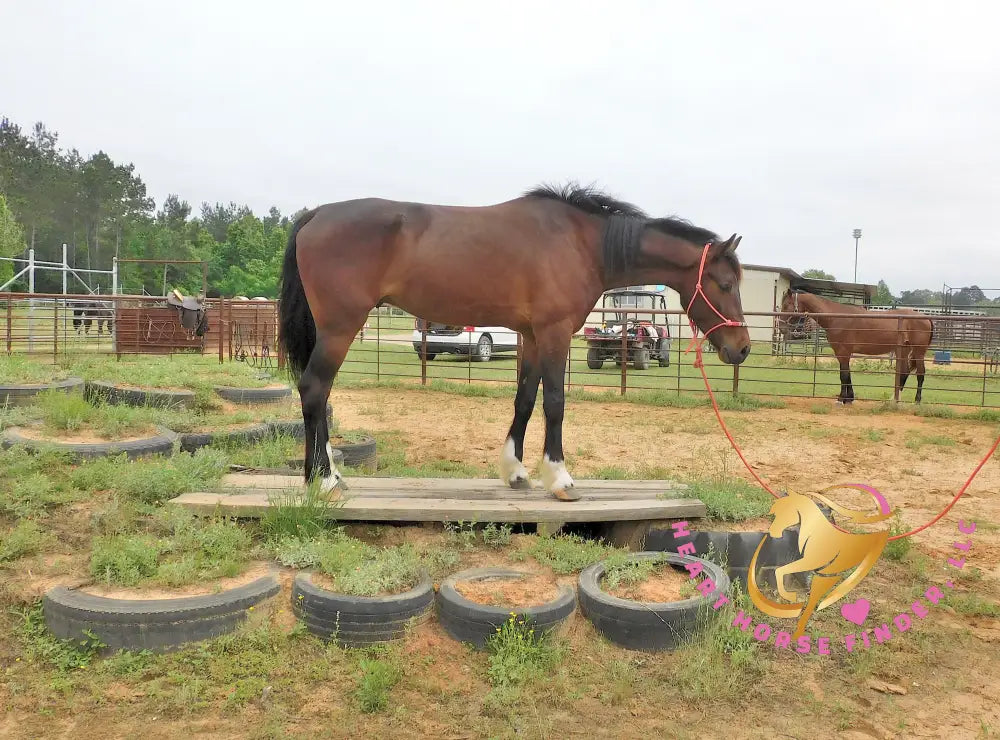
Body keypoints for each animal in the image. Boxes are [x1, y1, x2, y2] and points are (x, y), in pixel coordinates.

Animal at [277, 184, 752, 501]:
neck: (581, 243)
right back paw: (324, 480)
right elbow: (555, 401)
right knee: (315, 389)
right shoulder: (556, 332)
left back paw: (327, 476)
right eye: (726, 284)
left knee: (320, 394)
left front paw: (516, 472)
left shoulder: (531, 335)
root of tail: (315, 215)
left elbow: (525, 399)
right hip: (340, 327)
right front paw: (559, 478)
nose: (743, 348)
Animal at [780, 289, 934, 404]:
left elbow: (843, 375)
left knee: (920, 373)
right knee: (905, 372)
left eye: (786, 305)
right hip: (904, 350)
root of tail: (926, 318)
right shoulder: (842, 353)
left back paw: (917, 400)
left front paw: (842, 399)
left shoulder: (843, 352)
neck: (836, 317)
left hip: (919, 351)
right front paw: (849, 398)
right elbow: (847, 374)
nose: (781, 327)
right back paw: (894, 399)